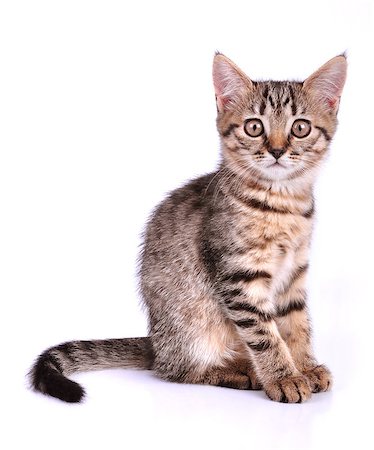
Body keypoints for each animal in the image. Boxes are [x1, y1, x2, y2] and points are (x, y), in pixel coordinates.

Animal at [30, 52, 348, 404]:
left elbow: (297, 324)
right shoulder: (238, 276)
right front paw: (284, 377)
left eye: (300, 127)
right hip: (192, 329)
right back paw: (238, 371)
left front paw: (305, 366)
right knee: (175, 370)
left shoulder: (294, 273)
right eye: (254, 127)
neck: (282, 204)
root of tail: (156, 343)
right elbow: (265, 334)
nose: (277, 150)